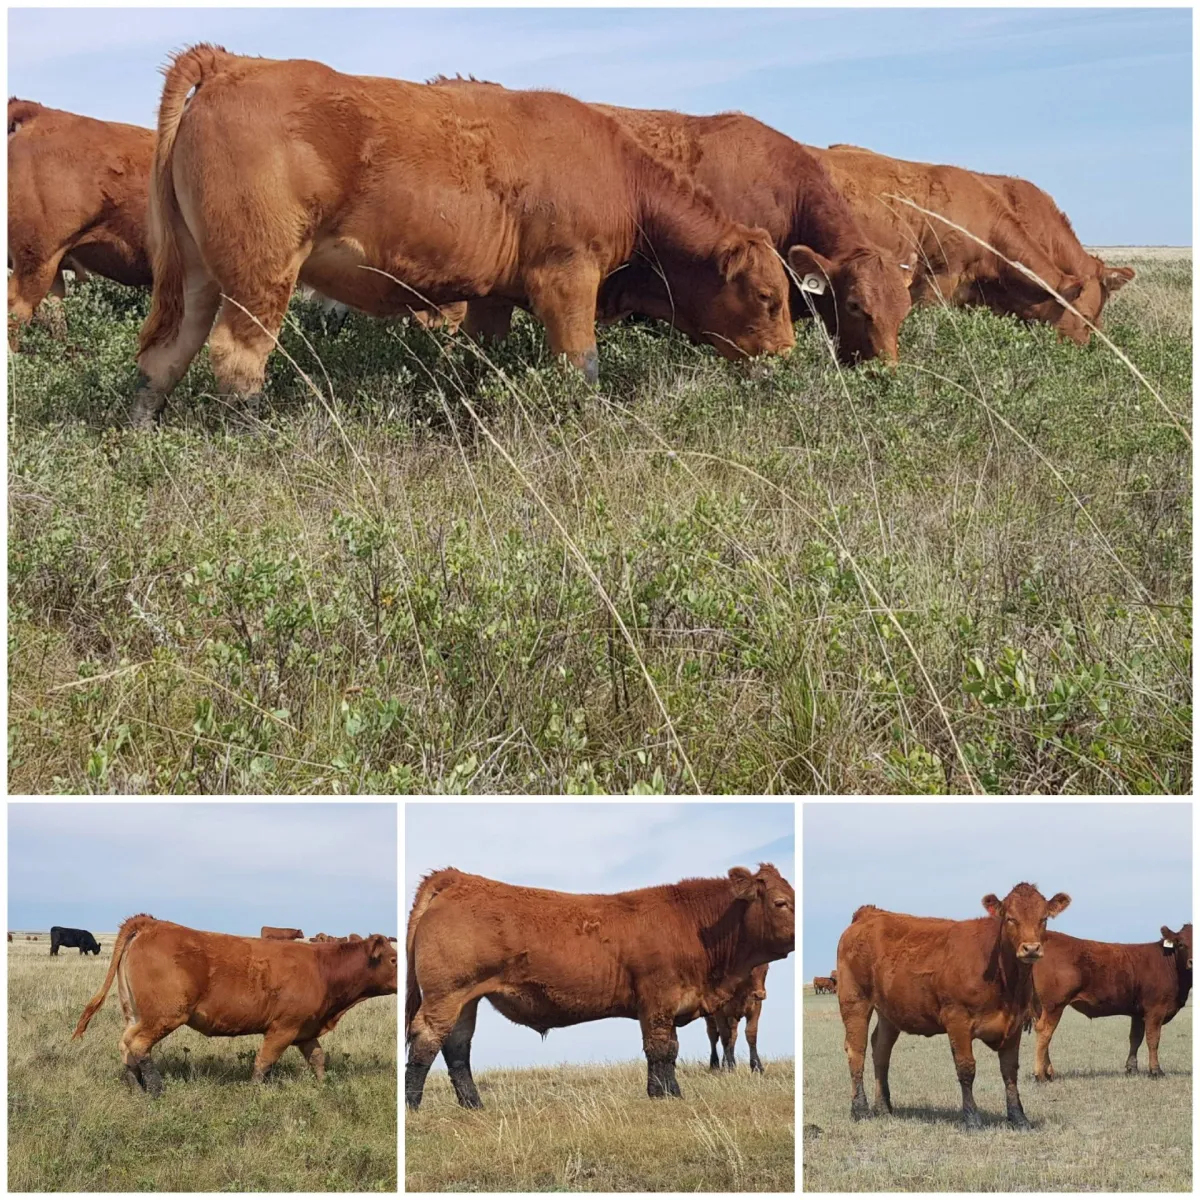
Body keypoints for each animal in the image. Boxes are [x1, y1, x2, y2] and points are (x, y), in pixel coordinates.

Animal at [71, 914, 397, 1095]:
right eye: (394, 959)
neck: (322, 968)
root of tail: (151, 923)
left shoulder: (306, 1030)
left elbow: (318, 1058)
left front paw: (323, 1086)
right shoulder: (283, 1028)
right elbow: (263, 1062)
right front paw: (255, 1093)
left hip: (135, 1014)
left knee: (126, 1046)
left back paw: (136, 1090)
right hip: (164, 1016)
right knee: (138, 1046)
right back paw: (155, 1091)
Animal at [130, 46, 793, 427]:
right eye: (768, 297)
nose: (788, 357)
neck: (621, 177)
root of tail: (233, 63)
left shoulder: (492, 296)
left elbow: (481, 359)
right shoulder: (567, 277)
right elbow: (580, 367)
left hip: (198, 276)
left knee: (164, 355)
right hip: (261, 276)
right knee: (237, 360)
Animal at [406, 863, 794, 1109]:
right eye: (780, 902)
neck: (695, 926)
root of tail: (458, 879)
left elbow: (669, 1049)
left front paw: (667, 1093)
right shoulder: (657, 1002)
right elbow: (662, 1049)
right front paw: (665, 1095)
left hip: (465, 999)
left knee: (457, 1048)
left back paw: (473, 1105)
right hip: (446, 995)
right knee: (426, 1039)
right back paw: (412, 1105)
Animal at [837, 883, 1070, 1129]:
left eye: (1044, 918)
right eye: (1010, 918)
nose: (1031, 948)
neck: (1006, 983)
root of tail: (869, 913)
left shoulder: (1015, 1023)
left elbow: (1009, 1070)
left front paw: (1019, 1117)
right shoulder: (957, 1019)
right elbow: (966, 1068)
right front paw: (972, 1117)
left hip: (888, 1012)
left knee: (881, 1051)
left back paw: (883, 1108)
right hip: (854, 1000)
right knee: (857, 1051)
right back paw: (860, 1109)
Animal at [1030, 923, 1192, 1081]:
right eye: (1181, 944)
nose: (1192, 962)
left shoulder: (1138, 1013)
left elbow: (1135, 1038)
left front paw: (1132, 1069)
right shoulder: (1155, 1010)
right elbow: (1153, 1039)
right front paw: (1156, 1071)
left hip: (1042, 1007)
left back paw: (1048, 1072)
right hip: (1054, 1005)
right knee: (1044, 1032)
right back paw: (1040, 1075)